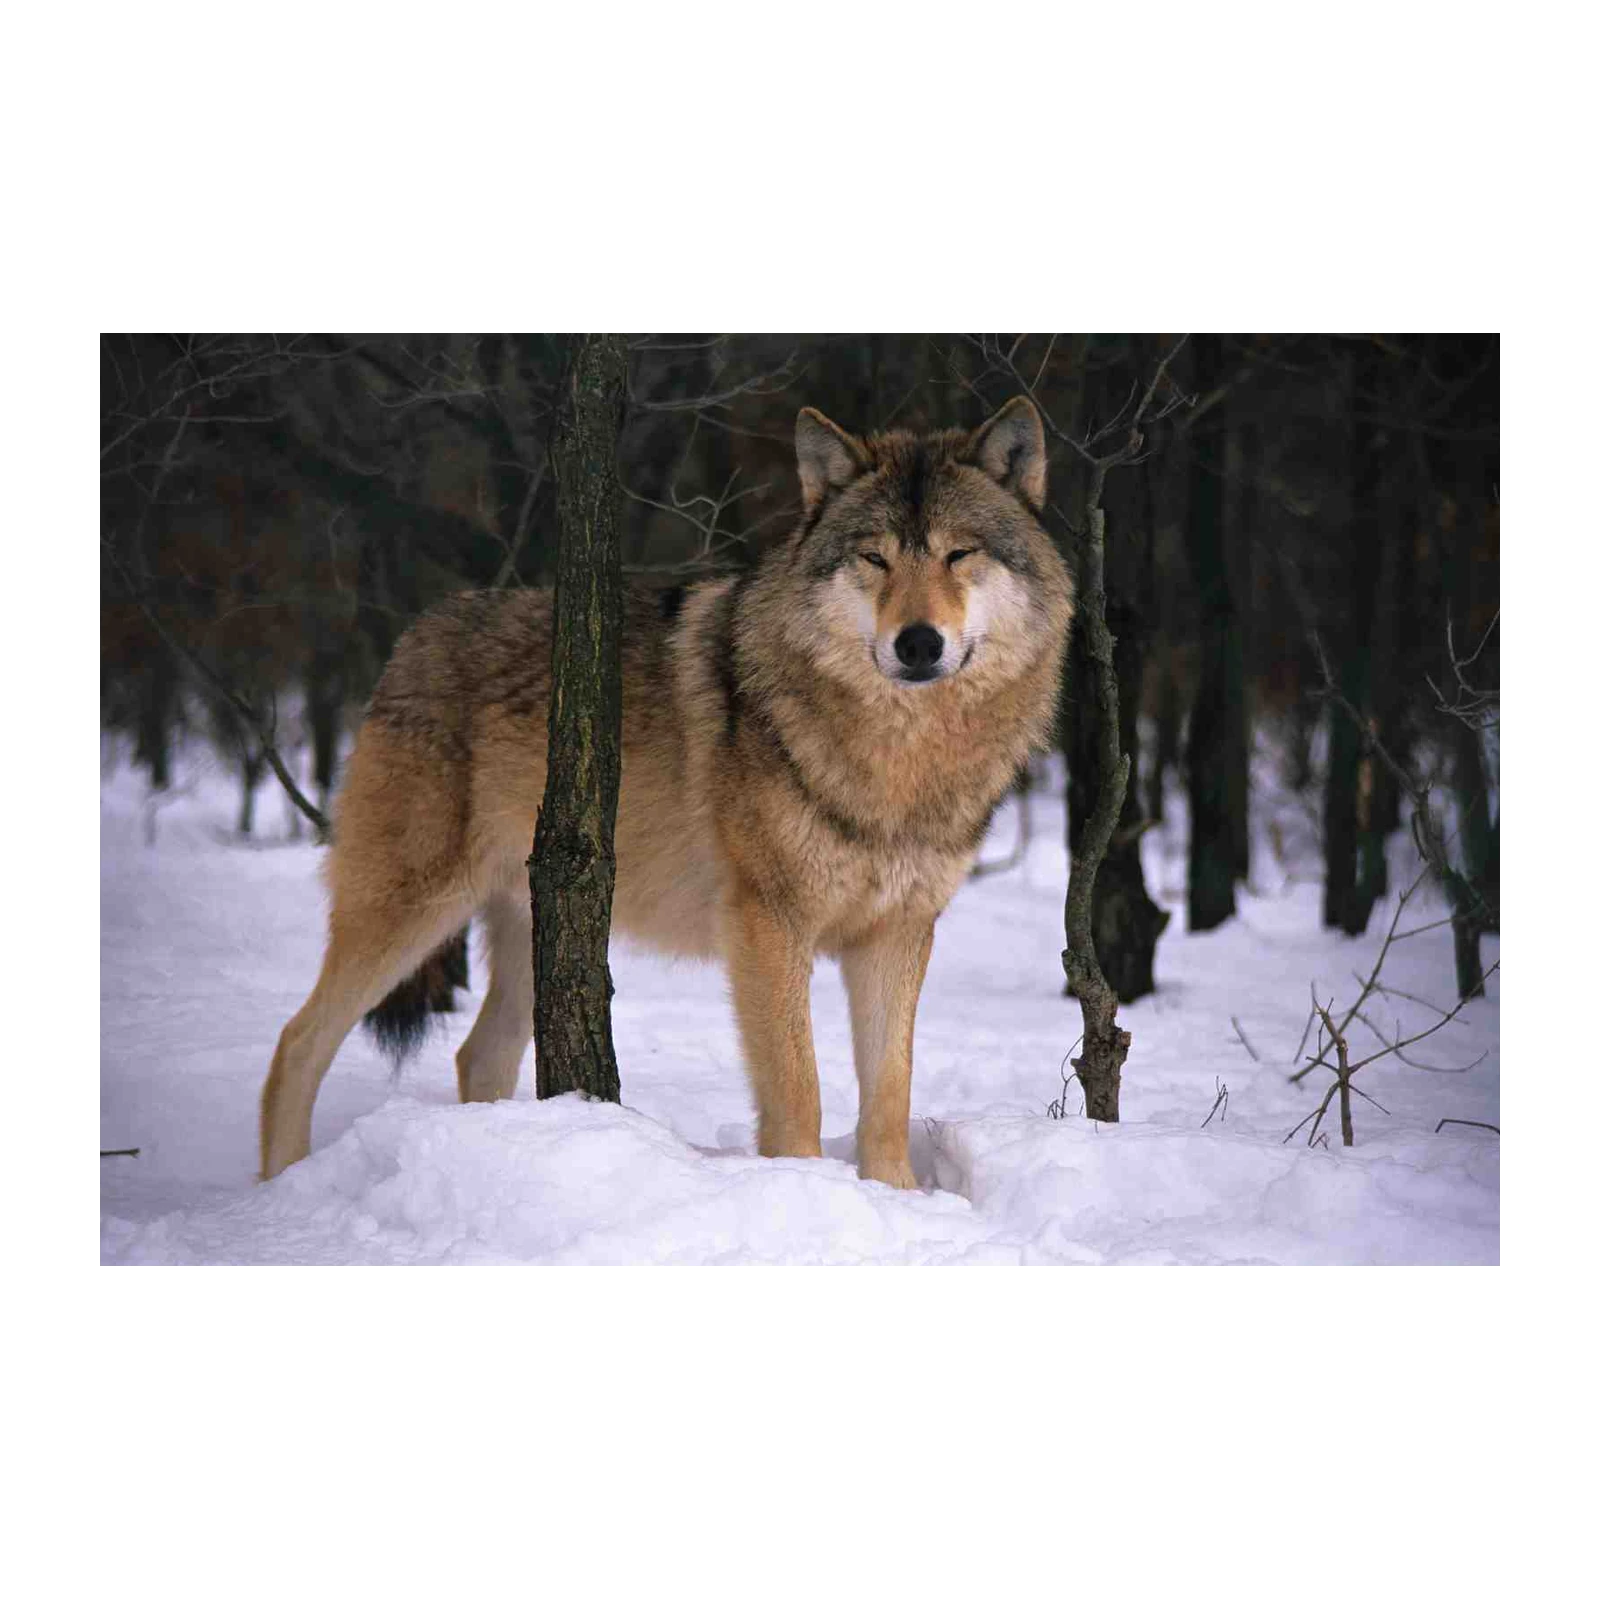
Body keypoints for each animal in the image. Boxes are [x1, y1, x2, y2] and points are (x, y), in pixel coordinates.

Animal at [260, 395, 1073, 1189]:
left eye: (959, 554)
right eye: (875, 559)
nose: (917, 643)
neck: (901, 761)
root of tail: (419, 630)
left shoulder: (898, 933)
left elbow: (889, 1094)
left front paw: (896, 1200)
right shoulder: (769, 925)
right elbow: (799, 1089)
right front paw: (807, 1193)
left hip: (541, 921)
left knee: (476, 1055)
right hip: (410, 913)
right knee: (296, 1042)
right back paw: (281, 1186)